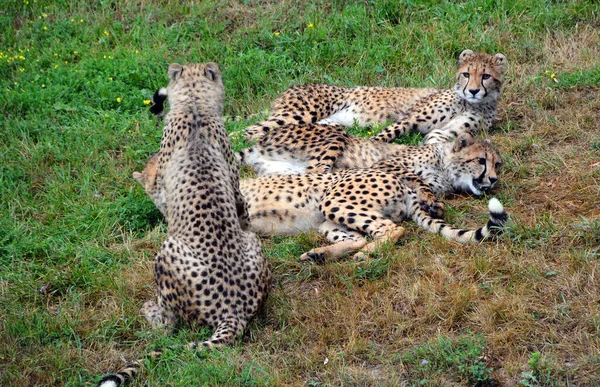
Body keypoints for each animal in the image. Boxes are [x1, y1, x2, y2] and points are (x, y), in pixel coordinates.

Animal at [97, 62, 270, 386]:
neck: (194, 106)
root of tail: (234, 309)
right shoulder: (236, 187)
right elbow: (243, 210)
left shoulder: (162, 190)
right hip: (253, 244)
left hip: (167, 252)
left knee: (167, 327)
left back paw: (150, 310)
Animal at [238, 124, 502, 197]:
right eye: (481, 160)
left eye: (497, 164)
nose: (493, 179)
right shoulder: (384, 165)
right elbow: (417, 179)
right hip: (337, 133)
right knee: (317, 172)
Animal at [244, 49, 506, 145]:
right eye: (466, 74)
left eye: (485, 76)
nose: (473, 90)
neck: (469, 103)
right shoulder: (408, 119)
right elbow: (382, 136)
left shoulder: (444, 132)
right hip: (300, 113)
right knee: (247, 131)